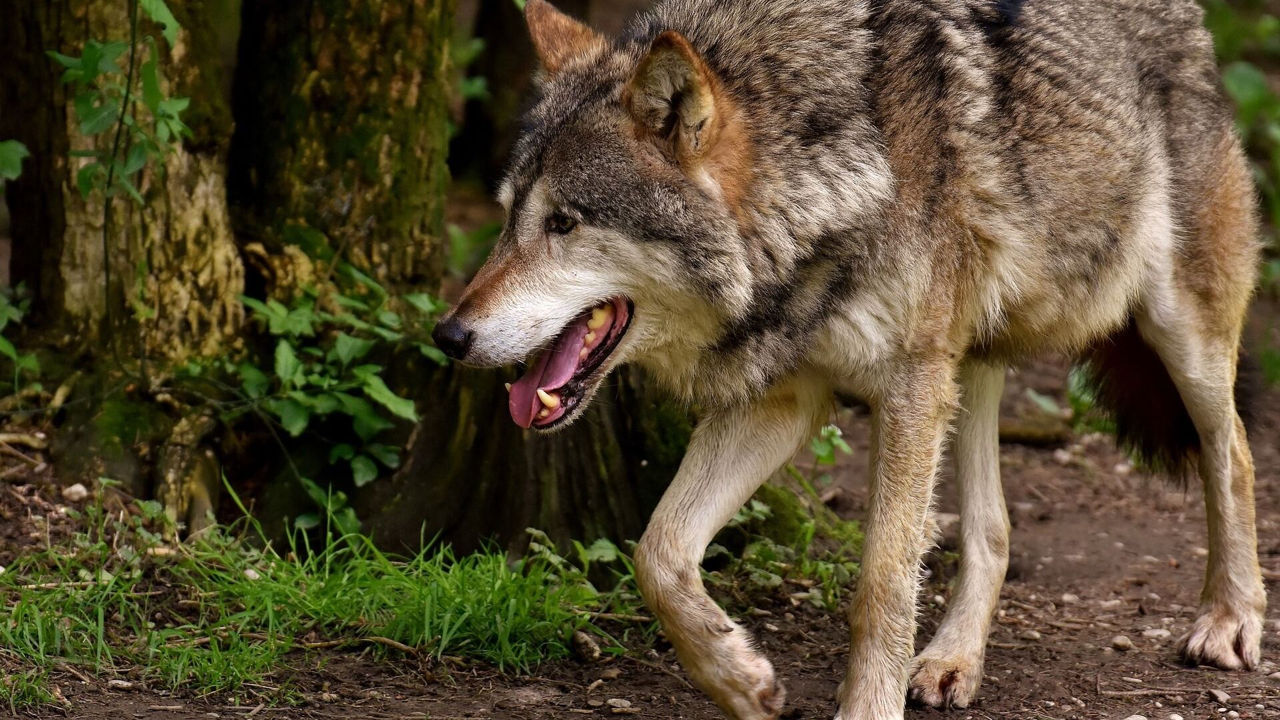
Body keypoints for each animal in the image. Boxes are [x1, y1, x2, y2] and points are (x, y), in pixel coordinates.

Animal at [432, 1, 1269, 712]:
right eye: (507, 219)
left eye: (565, 223)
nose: (449, 336)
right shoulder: (787, 398)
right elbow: (658, 553)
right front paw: (740, 680)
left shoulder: (905, 386)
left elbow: (882, 582)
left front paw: (865, 706)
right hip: (969, 361)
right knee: (993, 528)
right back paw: (952, 661)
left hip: (1176, 332)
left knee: (1232, 451)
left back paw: (1230, 620)